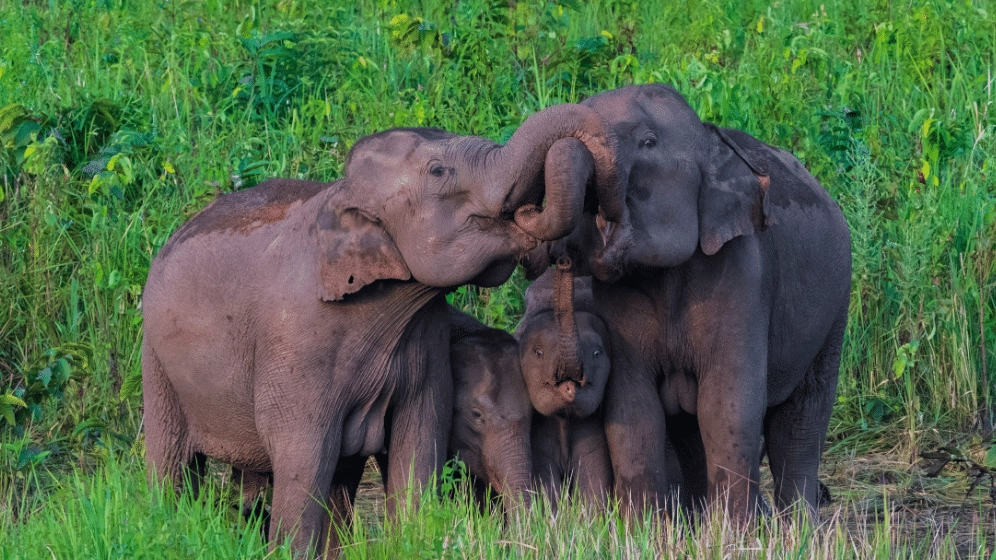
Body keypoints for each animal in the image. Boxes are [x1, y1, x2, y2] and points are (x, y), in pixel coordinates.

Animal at [143, 104, 620, 556]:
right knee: (172, 460)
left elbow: (420, 439)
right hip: (156, 359)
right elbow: (302, 453)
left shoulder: (426, 336)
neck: (342, 194)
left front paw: (414, 539)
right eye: (438, 171)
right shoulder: (293, 343)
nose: (561, 255)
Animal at [524, 84, 852, 520]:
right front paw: (640, 528)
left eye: (648, 142)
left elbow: (727, 405)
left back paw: (799, 527)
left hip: (835, 308)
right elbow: (634, 409)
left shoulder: (743, 276)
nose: (559, 256)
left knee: (802, 419)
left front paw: (733, 532)